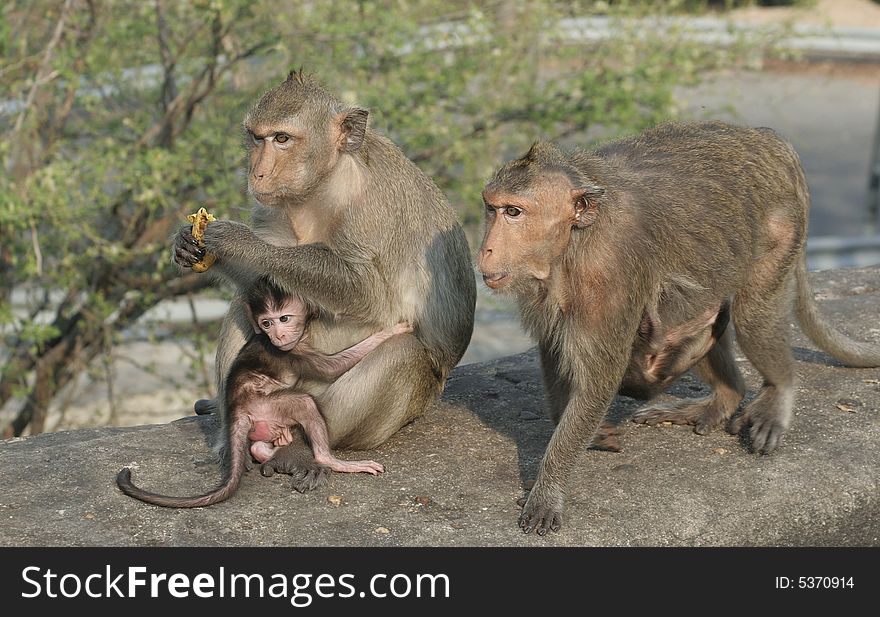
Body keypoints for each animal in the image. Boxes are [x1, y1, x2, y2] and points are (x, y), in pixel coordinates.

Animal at [114, 276, 412, 508]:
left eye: (284, 318)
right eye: (266, 323)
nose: (278, 335)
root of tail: (236, 409)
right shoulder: (292, 353)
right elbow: (333, 367)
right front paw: (392, 331)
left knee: (261, 440)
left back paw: (270, 450)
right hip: (263, 406)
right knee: (304, 403)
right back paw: (329, 460)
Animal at [172, 70, 474, 490]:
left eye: (282, 139)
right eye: (256, 137)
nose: (256, 172)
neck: (324, 184)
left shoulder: (369, 206)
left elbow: (368, 292)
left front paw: (239, 240)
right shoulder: (275, 206)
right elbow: (265, 281)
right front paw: (187, 243)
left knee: (402, 353)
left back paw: (302, 448)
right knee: (243, 303)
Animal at [482, 121, 880, 536]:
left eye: (514, 212)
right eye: (491, 208)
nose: (486, 249)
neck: (575, 240)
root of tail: (772, 141)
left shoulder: (610, 272)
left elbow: (599, 380)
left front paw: (548, 488)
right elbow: (555, 351)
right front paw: (584, 434)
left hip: (781, 226)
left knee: (751, 317)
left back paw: (779, 391)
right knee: (701, 315)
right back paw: (726, 395)